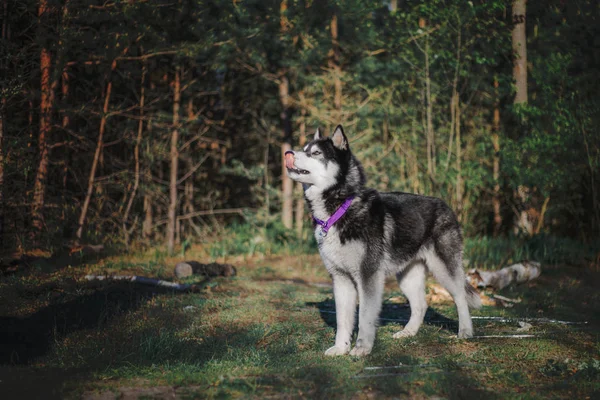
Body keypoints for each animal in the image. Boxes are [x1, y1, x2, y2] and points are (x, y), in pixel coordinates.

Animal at [284, 125, 480, 356]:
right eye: (304, 148)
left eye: (315, 153)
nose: (288, 153)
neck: (342, 208)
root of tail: (446, 206)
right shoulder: (340, 279)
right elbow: (343, 320)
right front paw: (341, 348)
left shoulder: (368, 276)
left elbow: (365, 317)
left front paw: (361, 349)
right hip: (407, 276)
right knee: (420, 305)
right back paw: (408, 333)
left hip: (444, 269)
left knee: (460, 298)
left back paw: (465, 332)